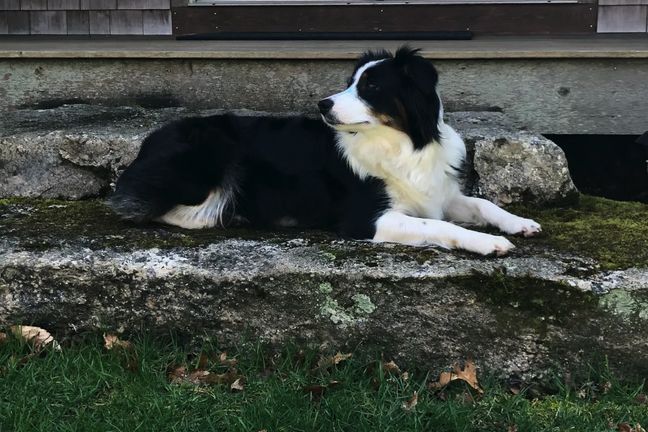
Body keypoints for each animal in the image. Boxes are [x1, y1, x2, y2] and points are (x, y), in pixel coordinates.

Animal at [108, 46, 541, 256]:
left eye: (370, 87)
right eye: (350, 82)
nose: (323, 104)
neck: (402, 142)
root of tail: (150, 138)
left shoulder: (438, 193)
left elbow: (481, 204)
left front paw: (517, 222)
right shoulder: (366, 219)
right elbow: (437, 226)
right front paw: (487, 243)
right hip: (205, 154)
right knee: (142, 207)